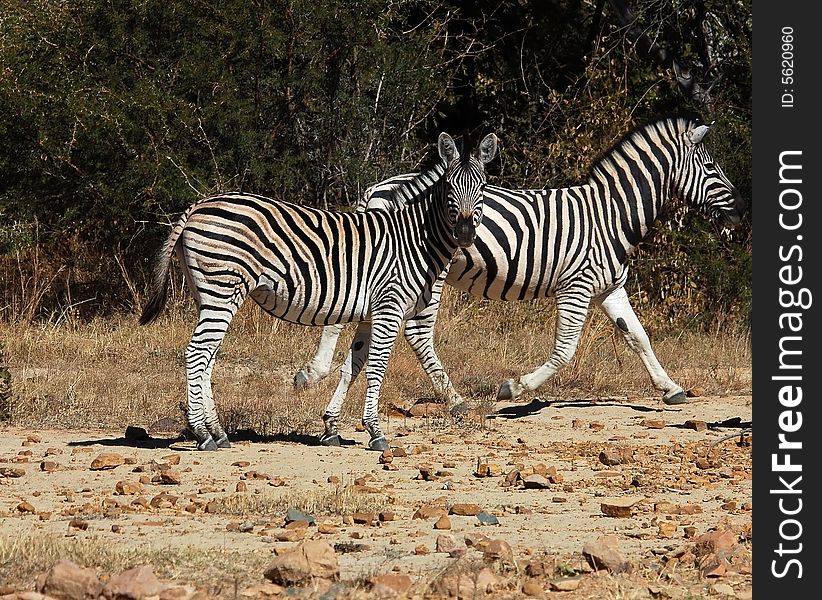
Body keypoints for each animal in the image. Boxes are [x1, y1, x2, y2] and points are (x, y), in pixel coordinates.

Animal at [138, 131, 498, 450]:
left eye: (481, 187)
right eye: (449, 187)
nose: (465, 234)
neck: (413, 237)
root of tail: (198, 205)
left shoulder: (370, 313)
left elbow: (354, 365)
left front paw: (333, 427)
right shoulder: (389, 307)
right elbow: (377, 366)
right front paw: (376, 432)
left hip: (211, 294)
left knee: (207, 357)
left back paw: (217, 431)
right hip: (222, 289)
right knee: (197, 353)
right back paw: (203, 435)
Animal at [294, 113, 748, 408]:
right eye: (710, 165)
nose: (741, 210)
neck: (609, 214)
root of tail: (380, 188)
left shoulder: (610, 288)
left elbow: (638, 336)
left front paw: (670, 387)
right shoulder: (576, 287)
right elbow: (565, 350)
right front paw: (514, 388)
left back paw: (315, 374)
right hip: (423, 273)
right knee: (413, 333)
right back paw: (450, 397)